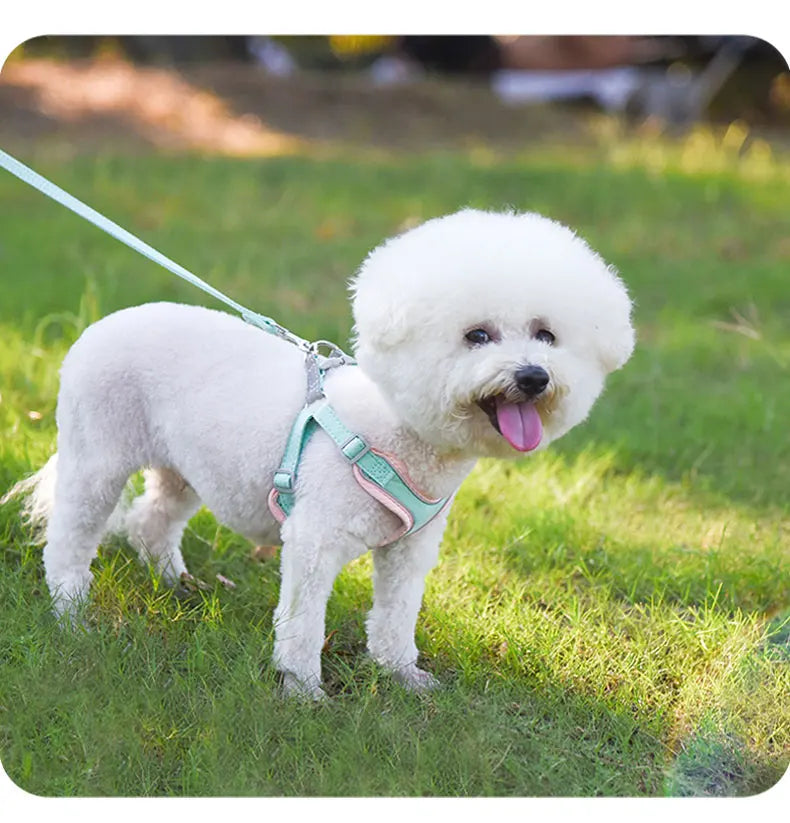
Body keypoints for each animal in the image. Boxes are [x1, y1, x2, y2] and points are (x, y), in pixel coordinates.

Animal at [4, 209, 636, 700]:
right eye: (477, 335)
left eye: (547, 336)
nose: (533, 376)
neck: (396, 431)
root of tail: (99, 327)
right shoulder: (313, 541)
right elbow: (304, 625)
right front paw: (304, 692)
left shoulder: (410, 550)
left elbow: (396, 616)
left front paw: (402, 676)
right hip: (97, 456)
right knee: (70, 538)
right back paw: (71, 614)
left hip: (183, 469)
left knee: (151, 521)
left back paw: (177, 585)